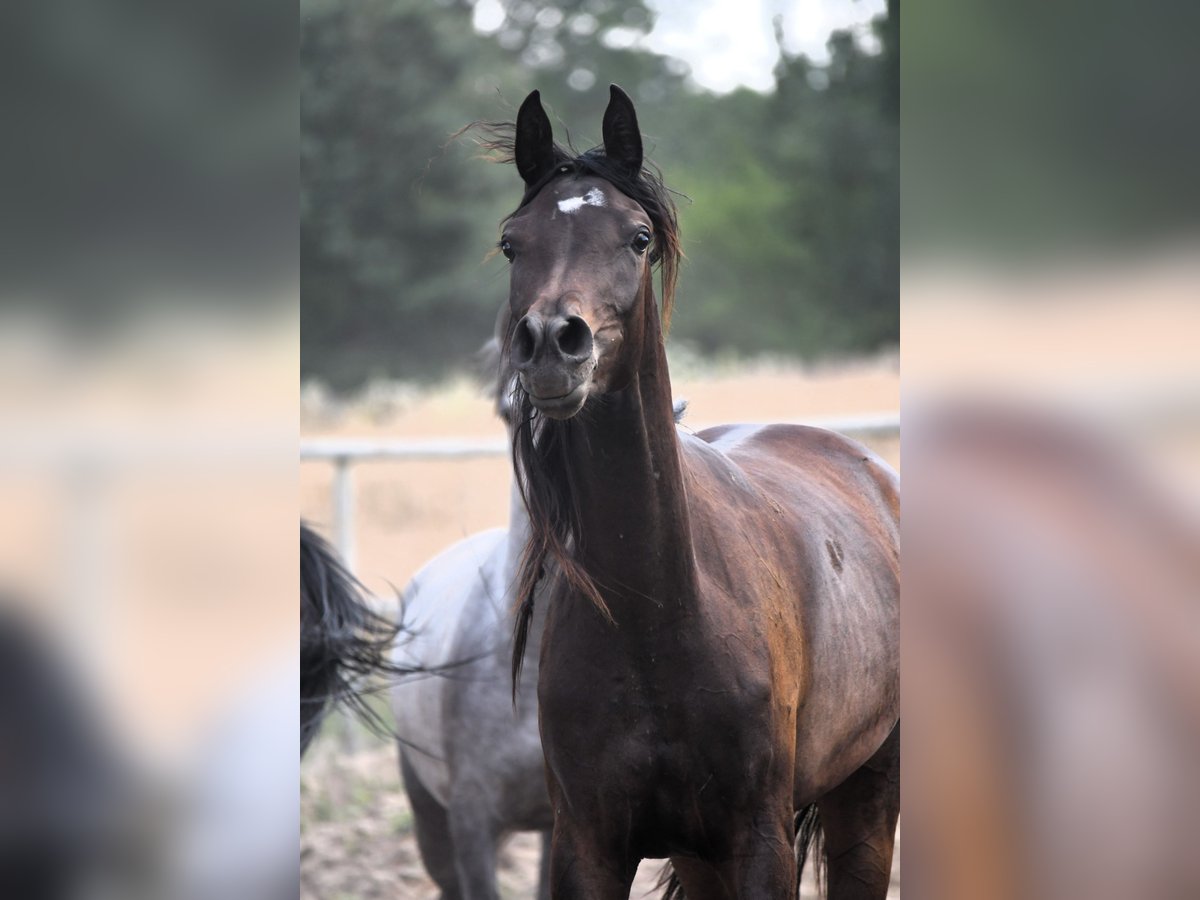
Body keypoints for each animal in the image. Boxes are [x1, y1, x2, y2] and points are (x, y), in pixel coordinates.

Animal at [496, 86, 902, 900]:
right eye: (511, 243)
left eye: (638, 238)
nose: (553, 344)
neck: (656, 614)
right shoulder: (588, 846)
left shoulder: (759, 844)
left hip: (871, 796)